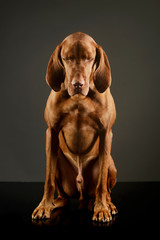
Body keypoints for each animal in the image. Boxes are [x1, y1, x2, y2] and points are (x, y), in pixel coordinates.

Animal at [32, 32, 117, 223]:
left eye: (89, 58)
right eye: (67, 58)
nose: (77, 84)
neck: (79, 98)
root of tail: (82, 196)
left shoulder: (106, 133)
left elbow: (101, 184)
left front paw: (102, 209)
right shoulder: (51, 132)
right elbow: (48, 181)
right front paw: (44, 206)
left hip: (111, 165)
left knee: (106, 189)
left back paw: (108, 204)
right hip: (57, 160)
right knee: (63, 195)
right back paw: (55, 203)